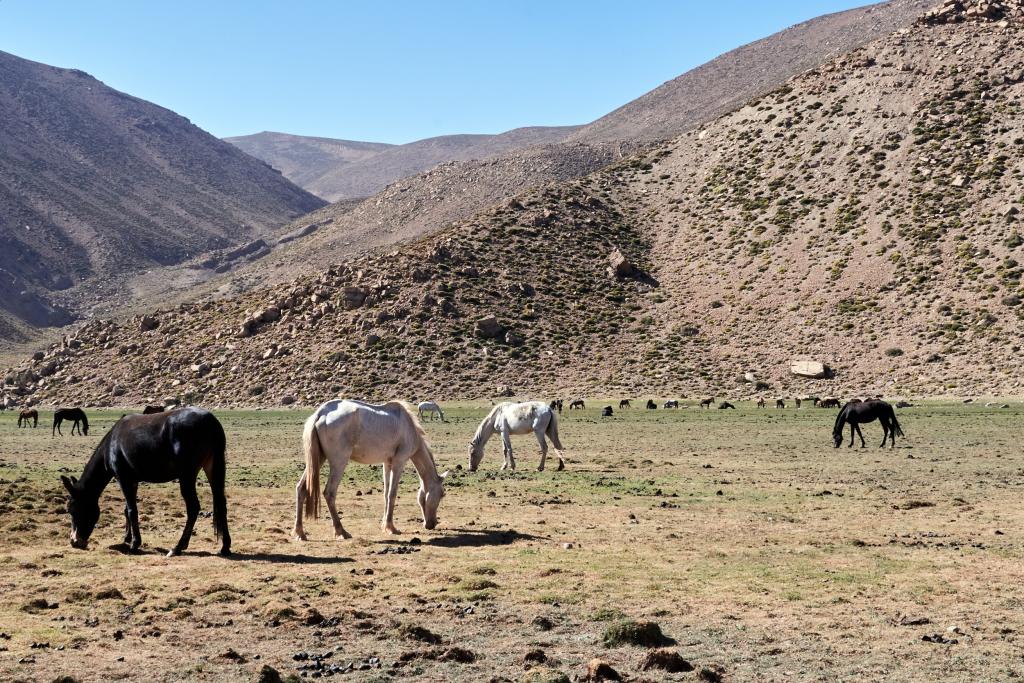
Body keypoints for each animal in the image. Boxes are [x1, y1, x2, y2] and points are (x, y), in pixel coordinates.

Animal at [58, 405, 231, 557]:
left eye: (72, 509)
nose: (74, 542)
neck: (112, 443)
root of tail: (210, 421)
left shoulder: (124, 479)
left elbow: (132, 510)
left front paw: (135, 544)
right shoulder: (133, 481)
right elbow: (126, 510)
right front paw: (127, 538)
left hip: (187, 476)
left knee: (193, 507)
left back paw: (177, 547)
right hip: (212, 468)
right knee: (221, 503)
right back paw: (225, 547)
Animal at [290, 401, 446, 540]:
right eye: (442, 494)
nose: (431, 524)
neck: (408, 427)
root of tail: (321, 413)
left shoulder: (387, 463)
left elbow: (386, 494)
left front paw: (385, 525)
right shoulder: (399, 462)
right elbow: (392, 494)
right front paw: (391, 528)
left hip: (318, 459)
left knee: (301, 488)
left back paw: (299, 532)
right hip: (339, 462)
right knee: (329, 493)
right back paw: (341, 531)